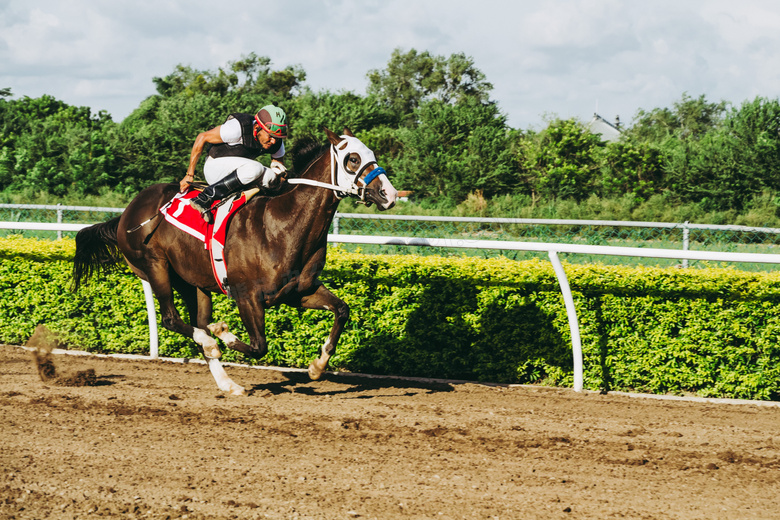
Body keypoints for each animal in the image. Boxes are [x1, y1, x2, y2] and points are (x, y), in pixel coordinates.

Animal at [72, 128, 396, 392]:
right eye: (352, 158)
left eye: (372, 154)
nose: (389, 194)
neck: (282, 224)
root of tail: (127, 213)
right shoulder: (246, 295)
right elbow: (259, 346)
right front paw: (224, 334)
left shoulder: (299, 292)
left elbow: (342, 310)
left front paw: (317, 367)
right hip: (155, 266)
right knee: (172, 319)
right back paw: (212, 342)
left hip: (193, 283)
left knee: (198, 322)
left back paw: (228, 383)